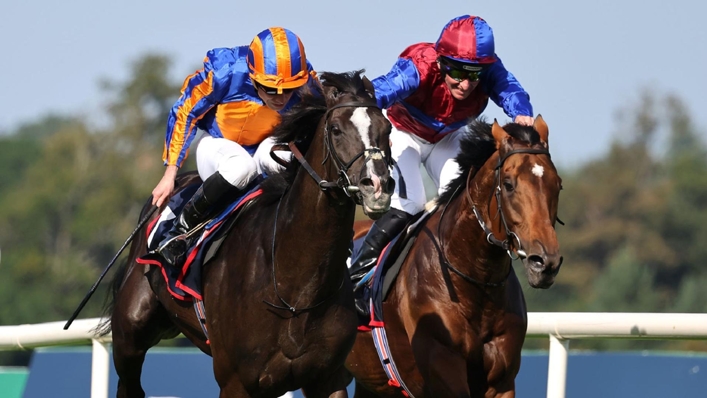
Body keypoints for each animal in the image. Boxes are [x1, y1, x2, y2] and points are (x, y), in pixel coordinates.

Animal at [102, 71, 396, 398]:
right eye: (335, 129)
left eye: (387, 129)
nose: (377, 186)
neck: (296, 289)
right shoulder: (235, 381)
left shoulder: (328, 378)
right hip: (130, 334)